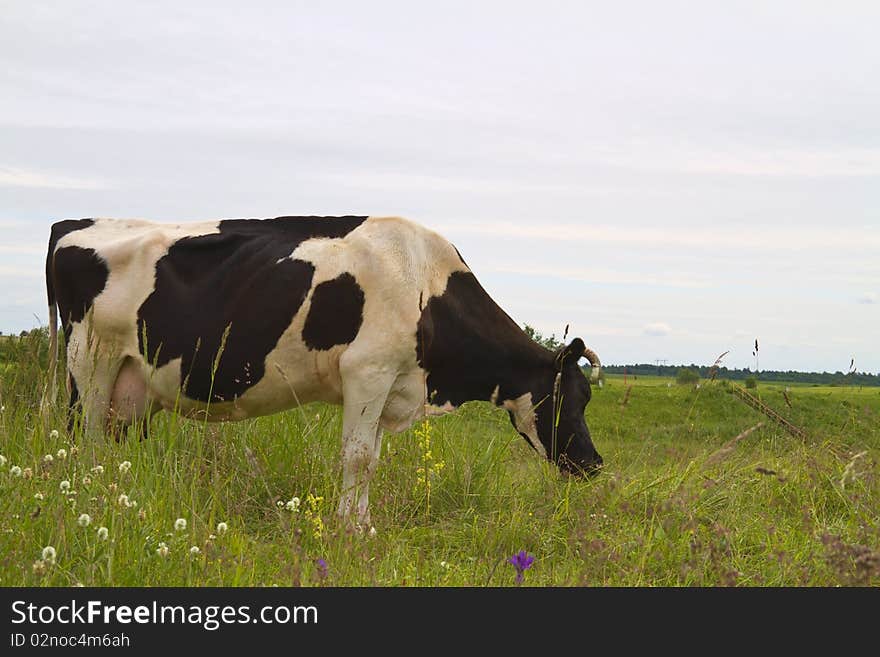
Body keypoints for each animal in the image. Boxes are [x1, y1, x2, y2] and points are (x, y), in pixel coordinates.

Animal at [43, 215, 604, 528]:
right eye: (570, 398)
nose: (594, 465)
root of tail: (72, 224)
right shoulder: (368, 371)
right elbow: (357, 458)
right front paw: (348, 532)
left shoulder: (388, 385)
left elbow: (371, 460)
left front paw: (363, 526)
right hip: (90, 363)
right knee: (85, 440)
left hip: (130, 386)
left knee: (111, 446)